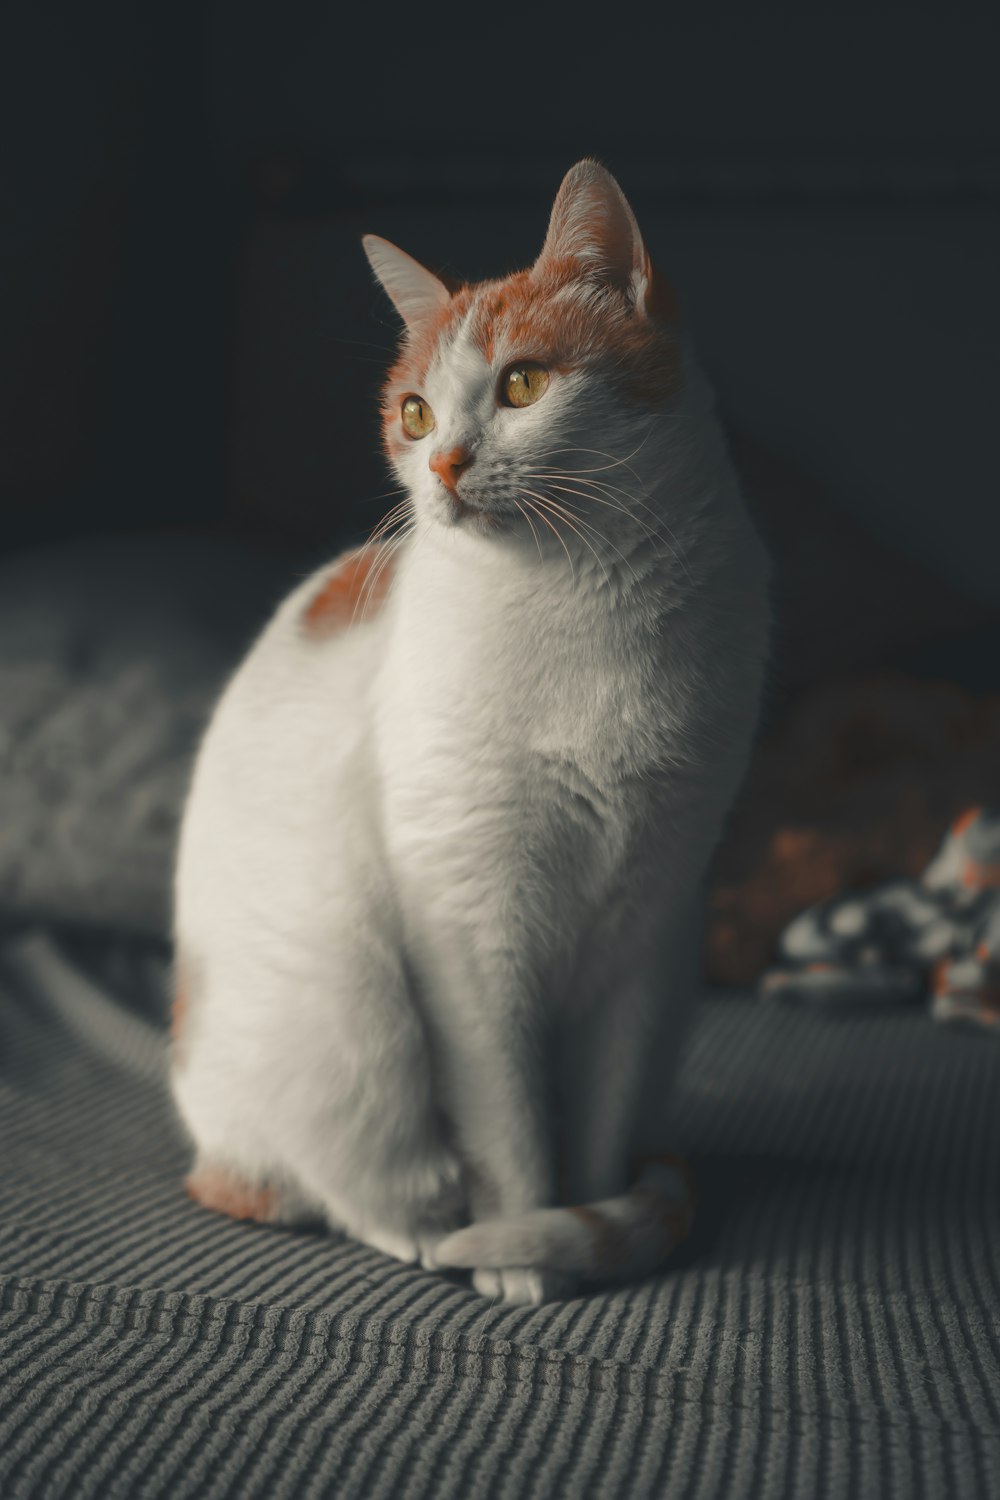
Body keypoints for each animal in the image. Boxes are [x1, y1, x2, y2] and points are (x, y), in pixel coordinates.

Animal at [172, 161, 773, 1302]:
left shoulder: (649, 923)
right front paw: (527, 1249)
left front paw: (587, 1228)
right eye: (412, 412)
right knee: (326, 1187)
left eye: (523, 386)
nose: (444, 463)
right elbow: (509, 1125)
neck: (589, 605)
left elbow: (598, 1124)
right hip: (346, 1012)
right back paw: (426, 1231)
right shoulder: (467, 926)